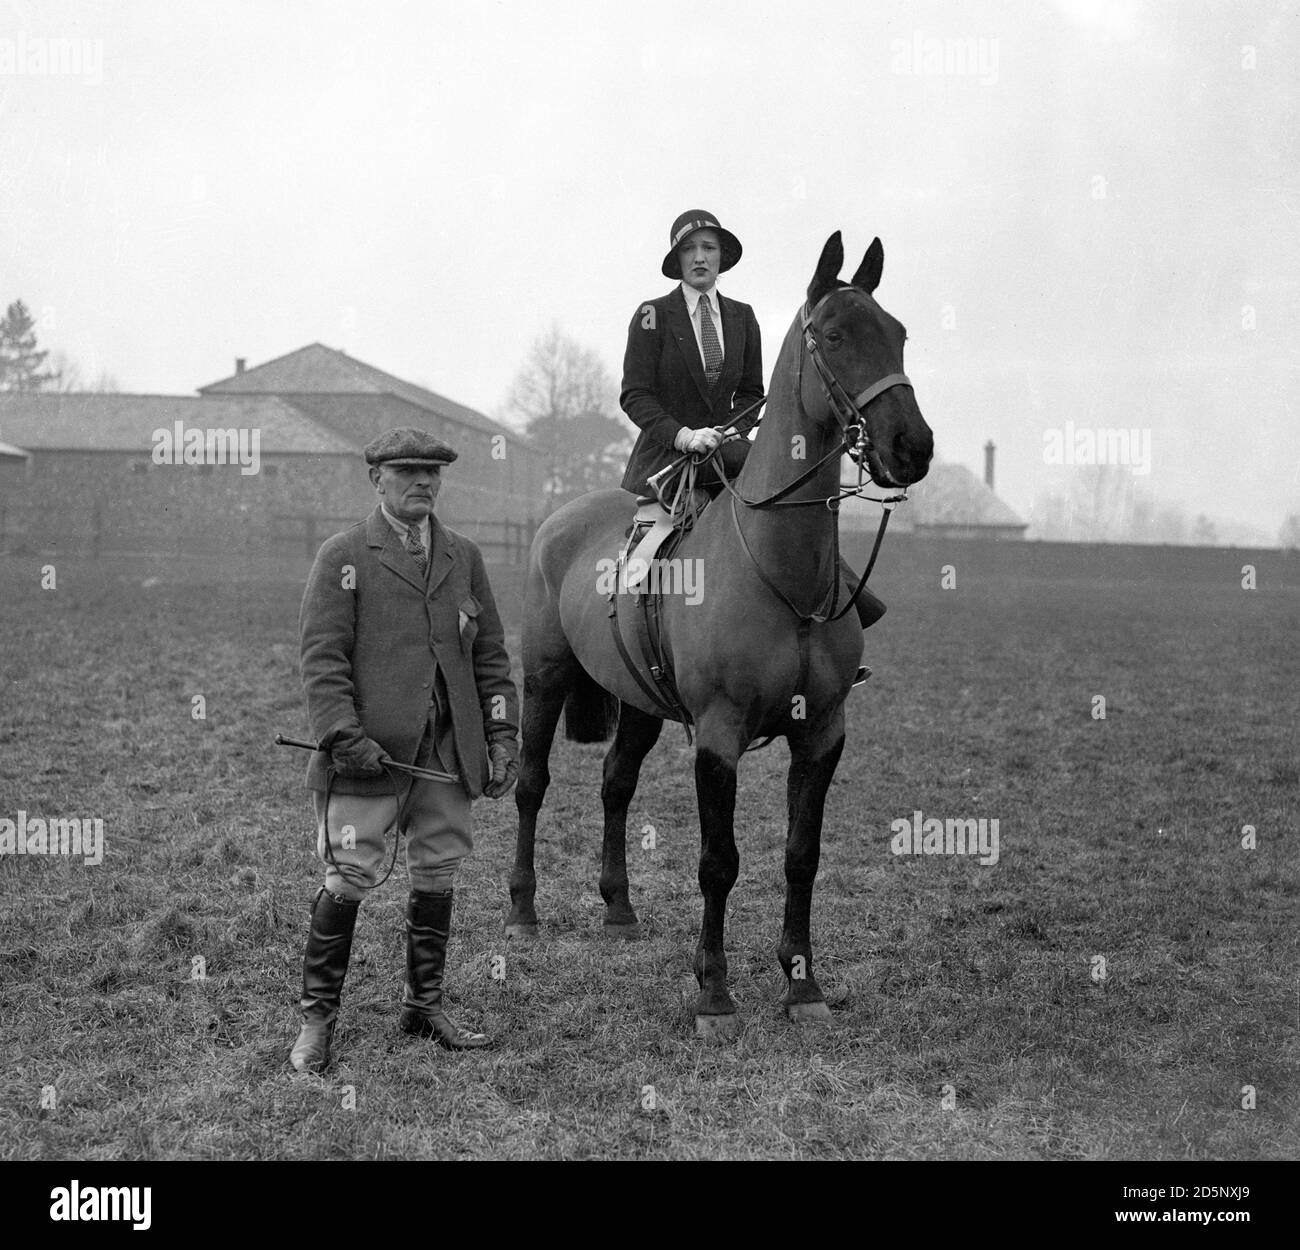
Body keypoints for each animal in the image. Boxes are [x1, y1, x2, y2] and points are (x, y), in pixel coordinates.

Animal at [501, 226, 930, 1034]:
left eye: (899, 334)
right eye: (833, 335)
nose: (911, 446)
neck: (779, 572)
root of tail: (558, 520)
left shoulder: (822, 732)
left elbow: (801, 855)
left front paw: (802, 984)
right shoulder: (719, 734)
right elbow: (718, 861)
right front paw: (714, 991)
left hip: (638, 699)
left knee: (615, 783)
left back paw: (619, 909)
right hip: (544, 679)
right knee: (531, 784)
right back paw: (522, 912)